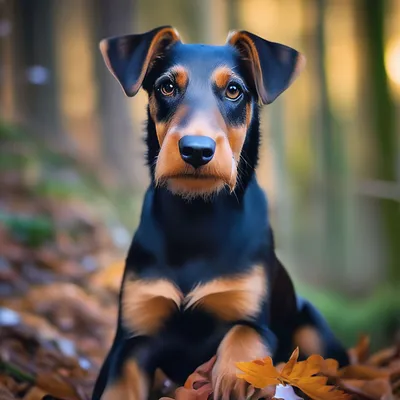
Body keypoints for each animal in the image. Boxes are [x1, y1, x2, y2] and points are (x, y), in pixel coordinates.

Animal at [92, 25, 348, 400]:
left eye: (233, 90)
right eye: (166, 86)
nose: (196, 150)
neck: (196, 215)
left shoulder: (253, 318)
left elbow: (243, 336)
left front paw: (231, 378)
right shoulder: (132, 338)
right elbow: (117, 388)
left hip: (313, 326)